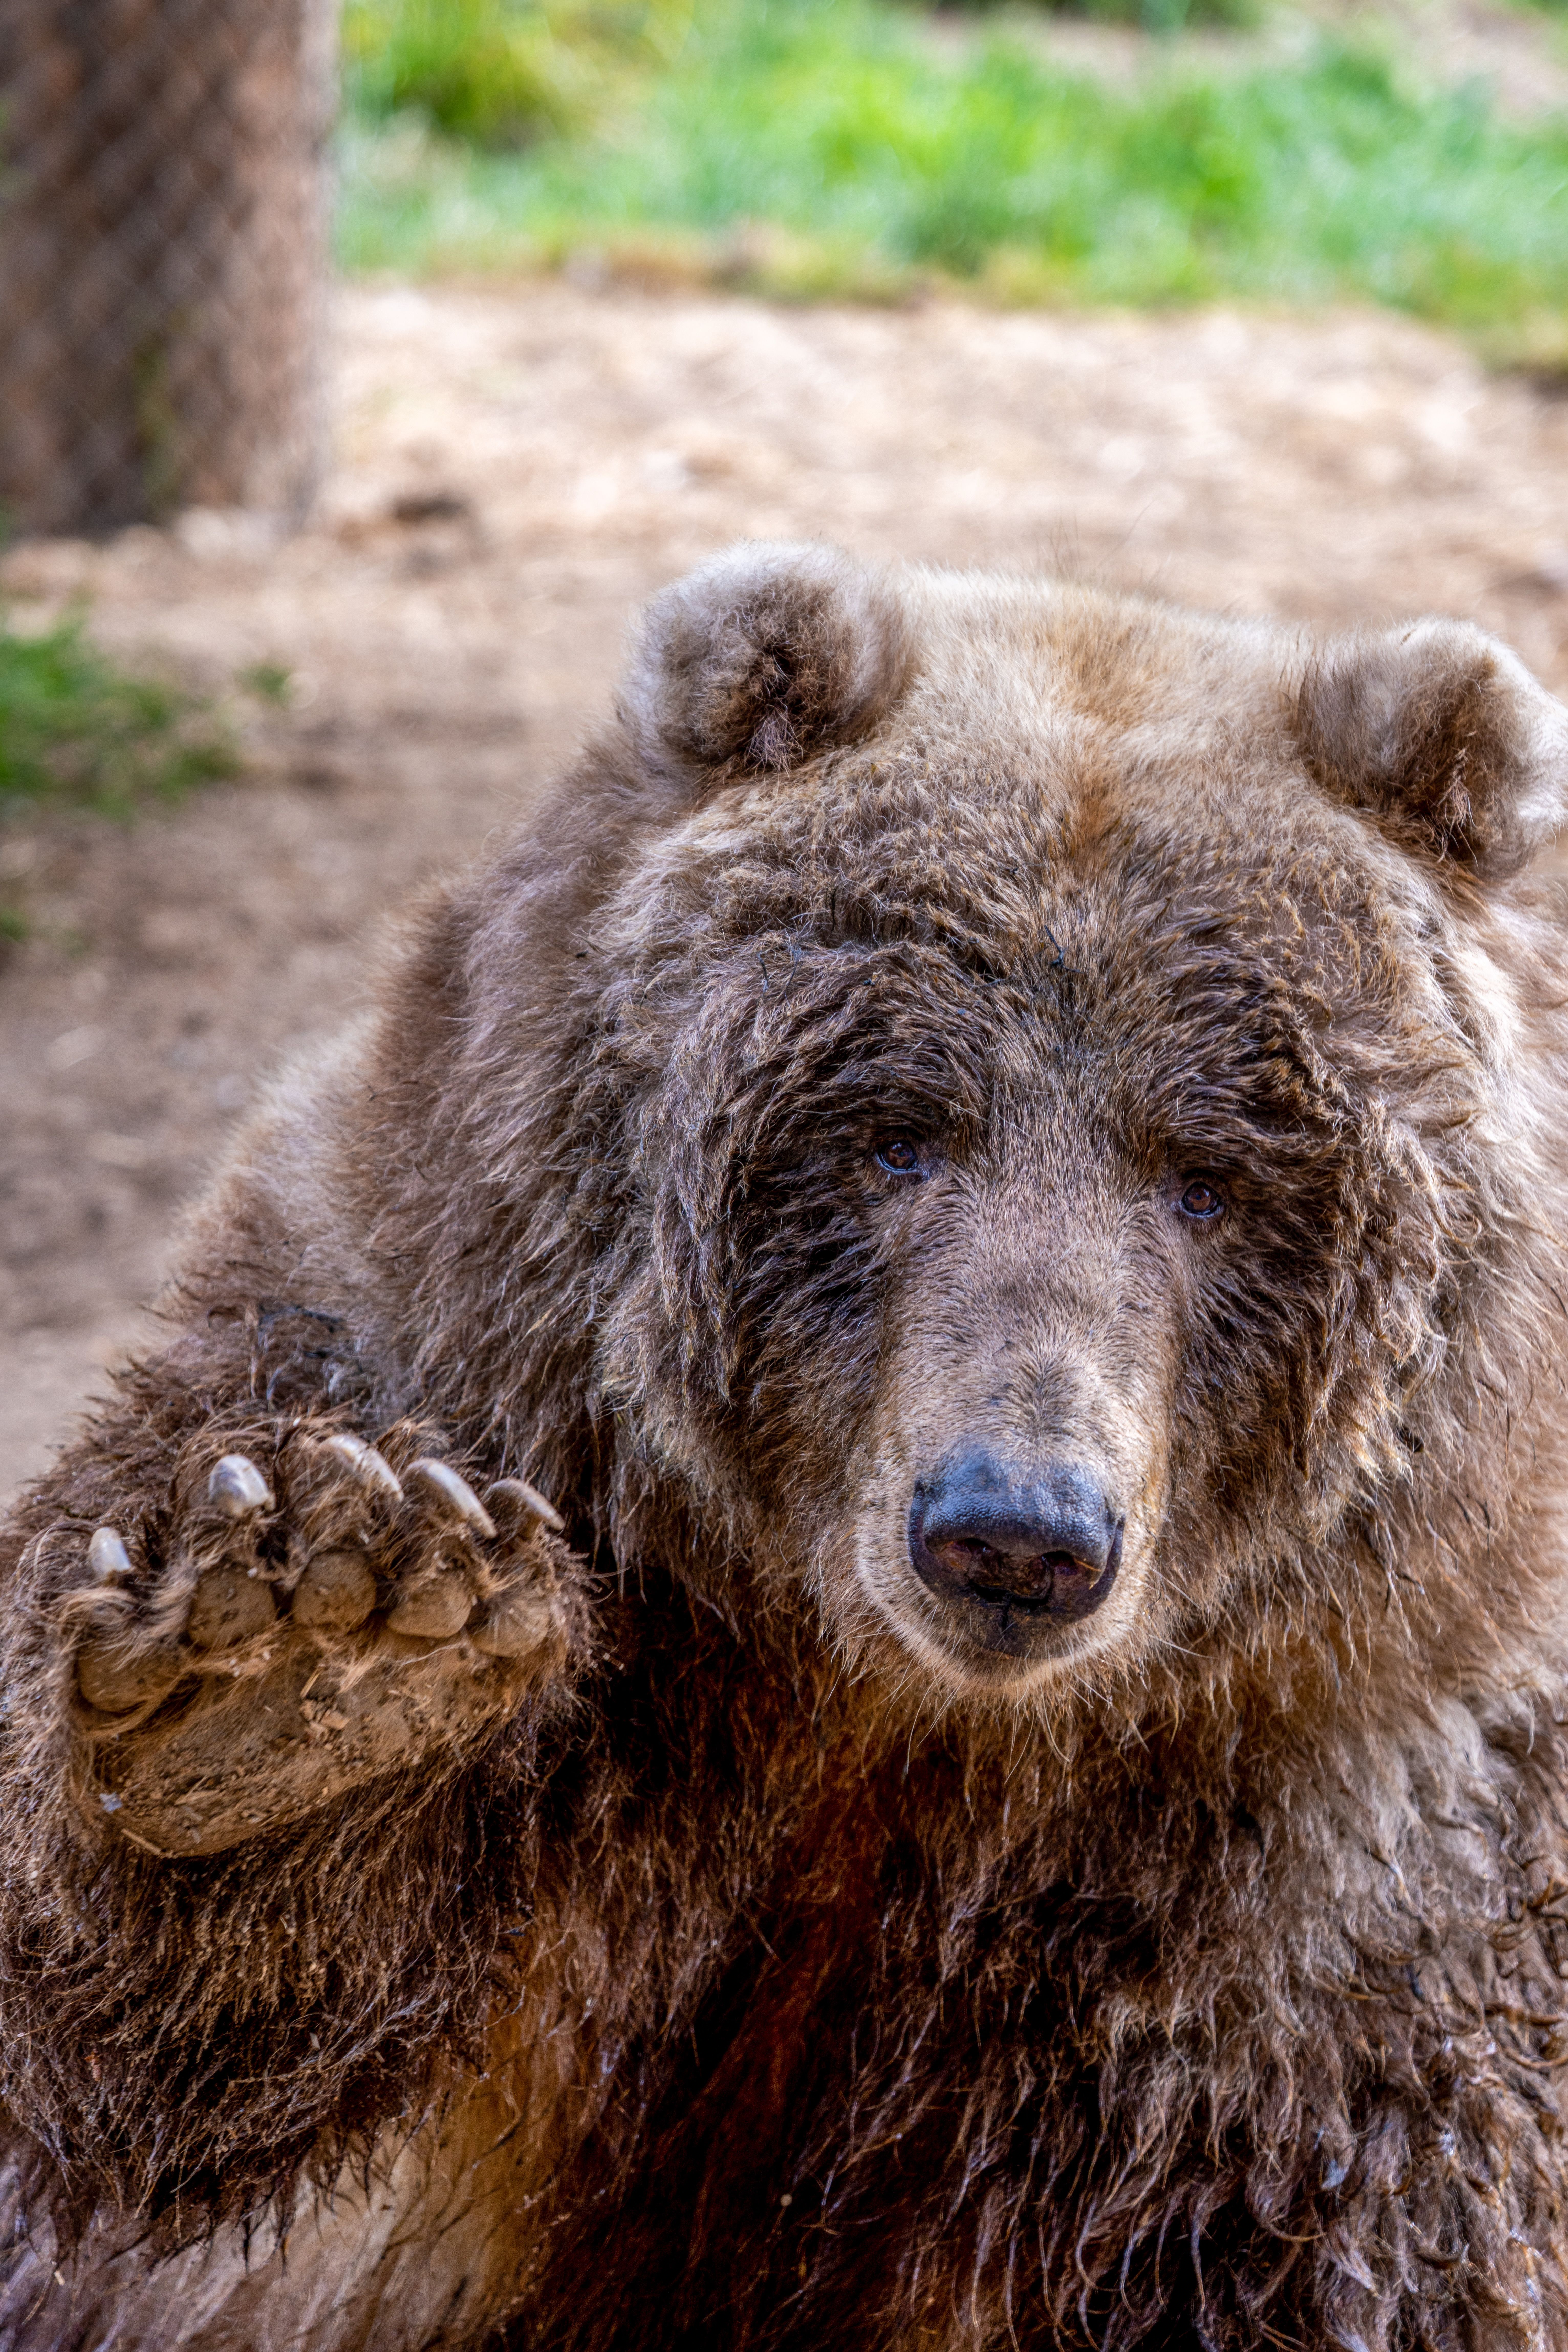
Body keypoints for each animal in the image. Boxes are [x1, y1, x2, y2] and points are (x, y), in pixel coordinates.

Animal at [2, 538, 1568, 2352]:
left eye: (1210, 1173)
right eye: (896, 1133)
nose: (1016, 1529)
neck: (873, 1703)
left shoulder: (1325, 1860)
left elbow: (1353, 2221)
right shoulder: (427, 1353)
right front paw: (297, 1659)